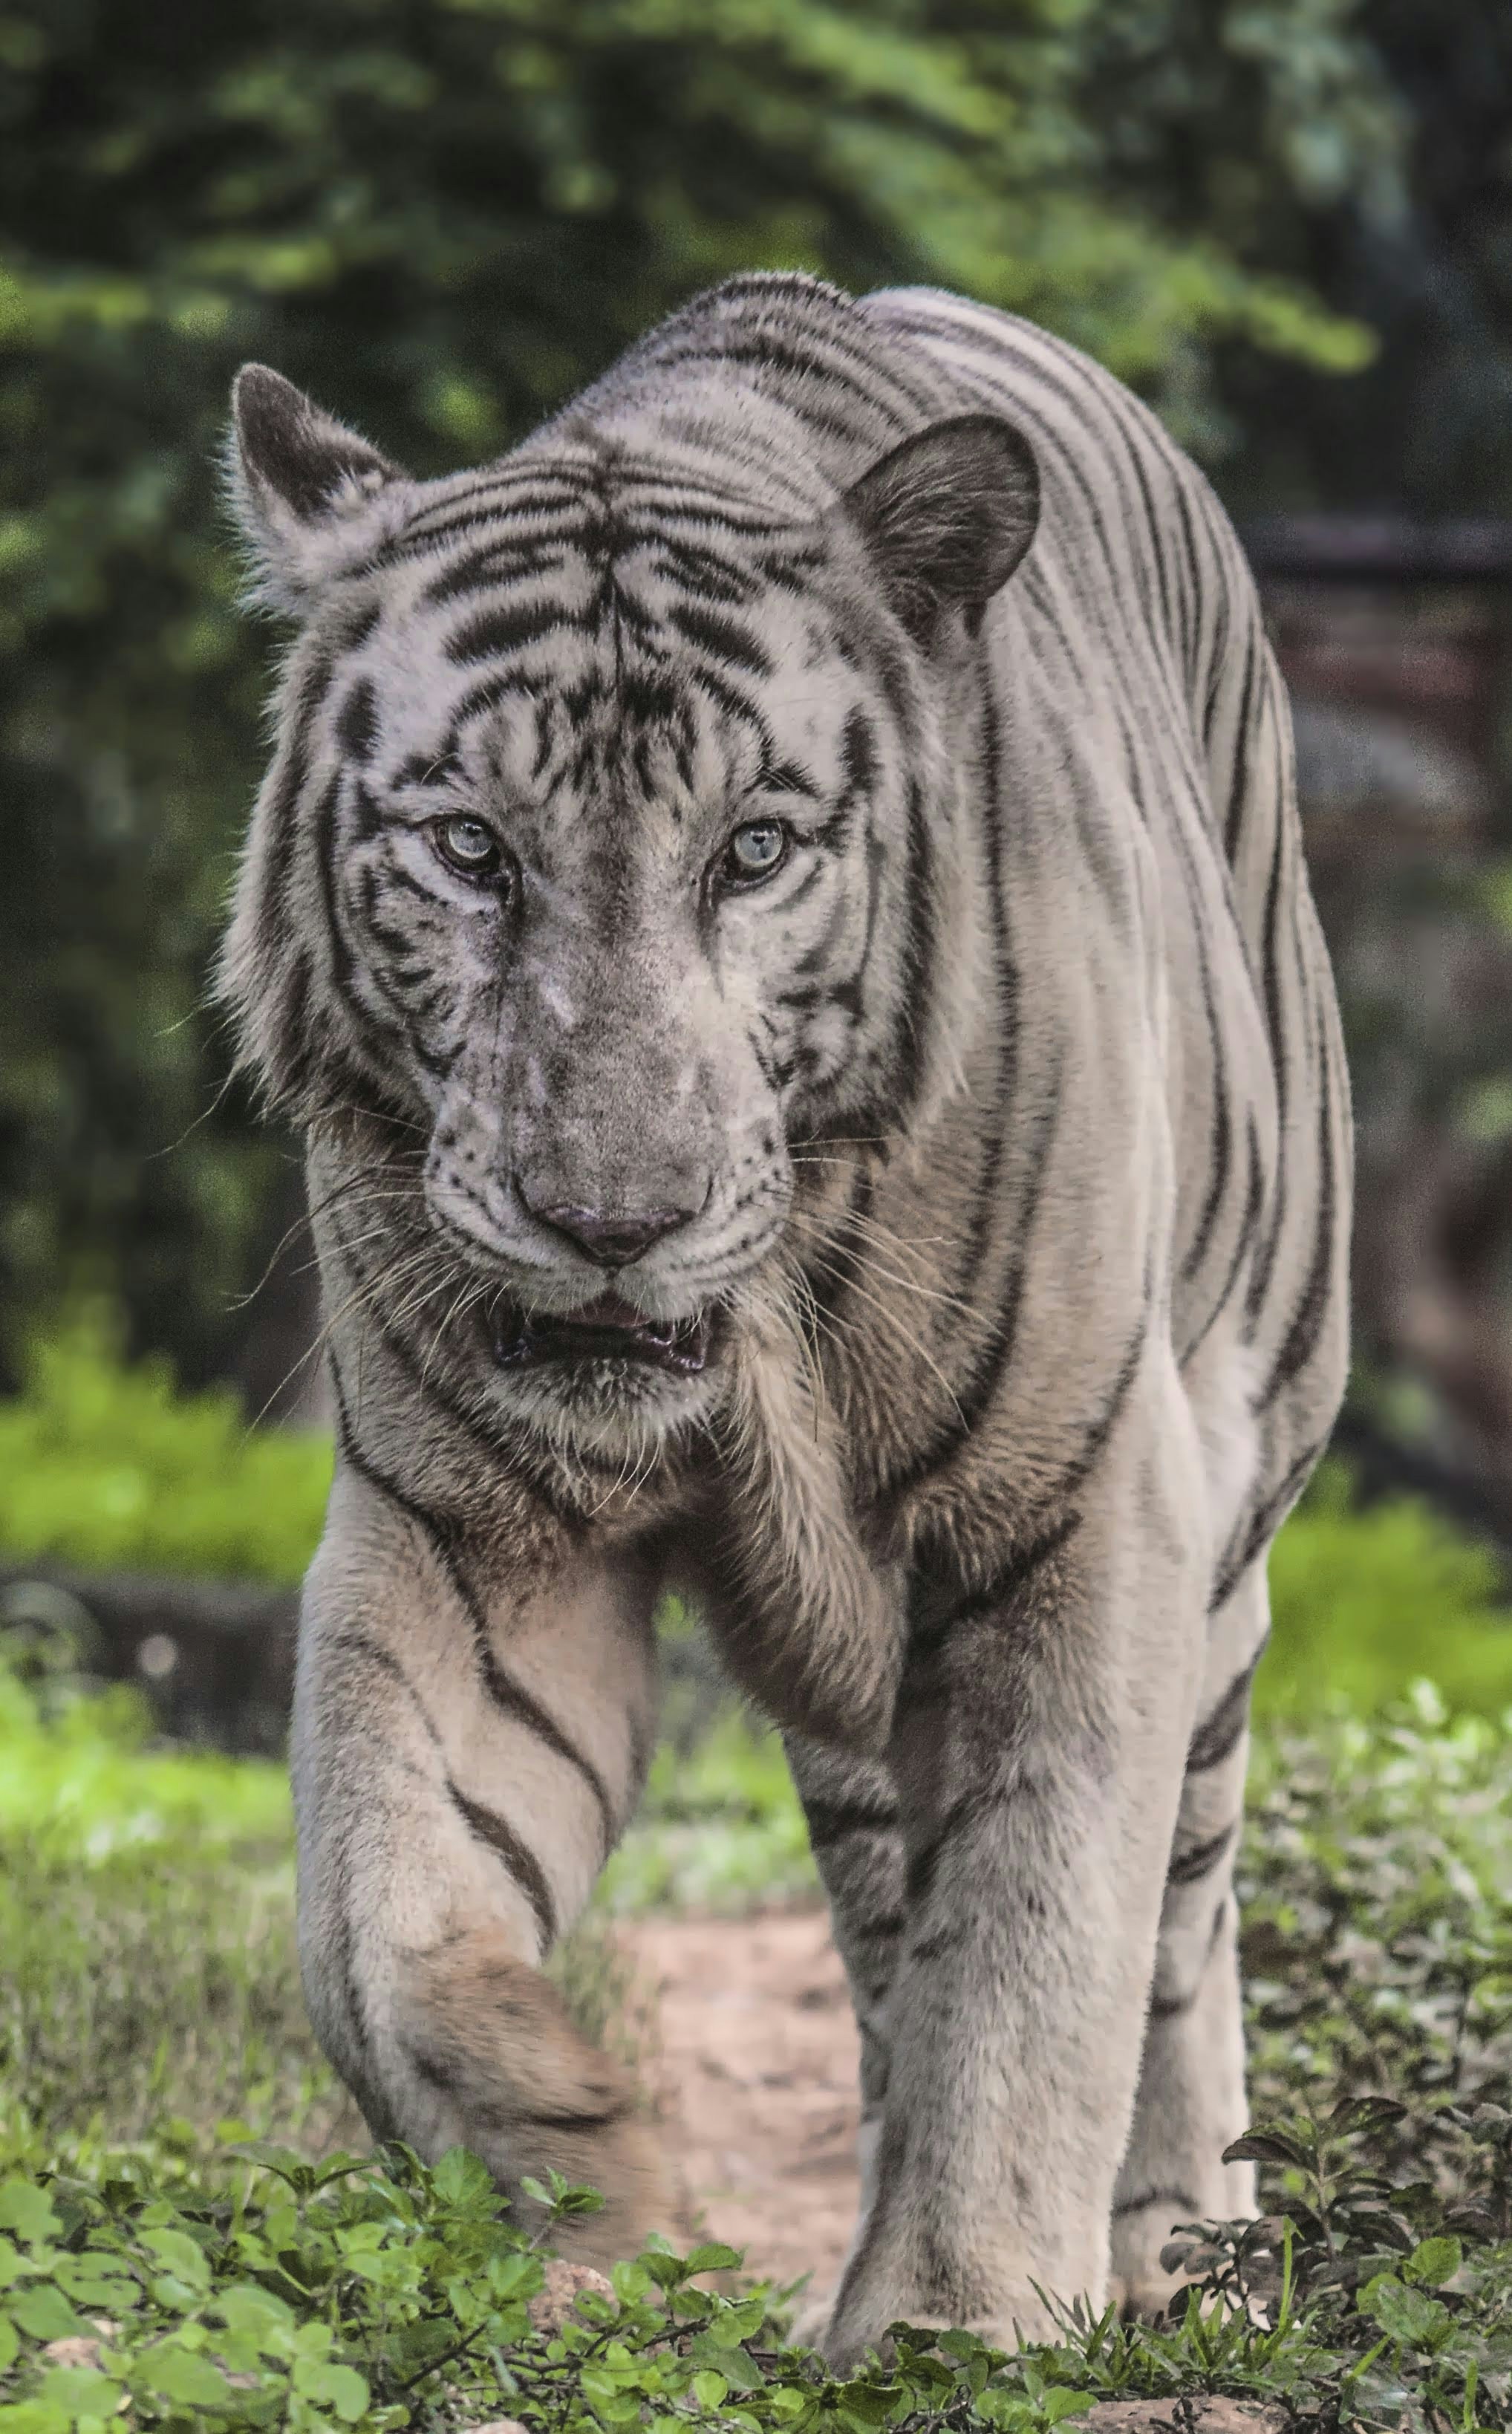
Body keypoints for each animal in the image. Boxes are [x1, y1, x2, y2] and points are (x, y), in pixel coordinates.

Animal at [220, 271, 1350, 2364]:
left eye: (751, 848)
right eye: (470, 849)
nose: (610, 1221)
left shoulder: (1088, 1514)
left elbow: (1040, 1941)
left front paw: (962, 2324)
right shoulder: (467, 1528)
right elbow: (375, 1920)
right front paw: (581, 2161)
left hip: (1237, 1503)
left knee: (1179, 1909)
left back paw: (1183, 2264)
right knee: (889, 1914)